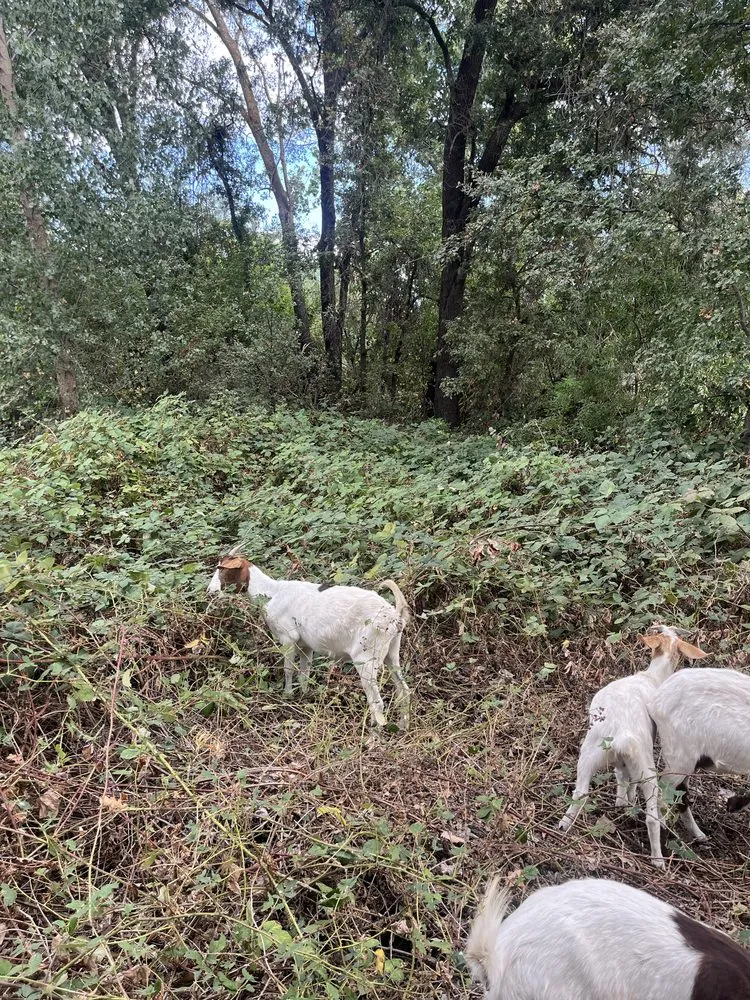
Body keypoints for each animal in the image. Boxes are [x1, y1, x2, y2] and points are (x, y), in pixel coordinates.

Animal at [206, 548, 411, 730]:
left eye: (221, 569)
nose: (210, 591)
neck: (271, 592)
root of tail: (395, 616)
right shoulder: (306, 645)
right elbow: (304, 672)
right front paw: (303, 696)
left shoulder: (288, 638)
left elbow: (289, 669)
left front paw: (287, 695)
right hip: (392, 654)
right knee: (403, 690)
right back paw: (402, 726)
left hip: (366, 657)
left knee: (377, 702)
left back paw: (372, 735)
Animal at [559, 624, 707, 868]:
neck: (652, 677)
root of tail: (621, 734)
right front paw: (628, 803)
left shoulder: (621, 761)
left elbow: (623, 777)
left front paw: (623, 803)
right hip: (646, 763)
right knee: (652, 815)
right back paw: (658, 859)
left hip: (589, 754)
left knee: (580, 793)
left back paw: (564, 825)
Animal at [650, 666, 750, 843]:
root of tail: (657, 698)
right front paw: (734, 804)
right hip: (680, 757)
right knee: (663, 790)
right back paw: (664, 832)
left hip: (692, 760)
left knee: (680, 794)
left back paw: (698, 834)